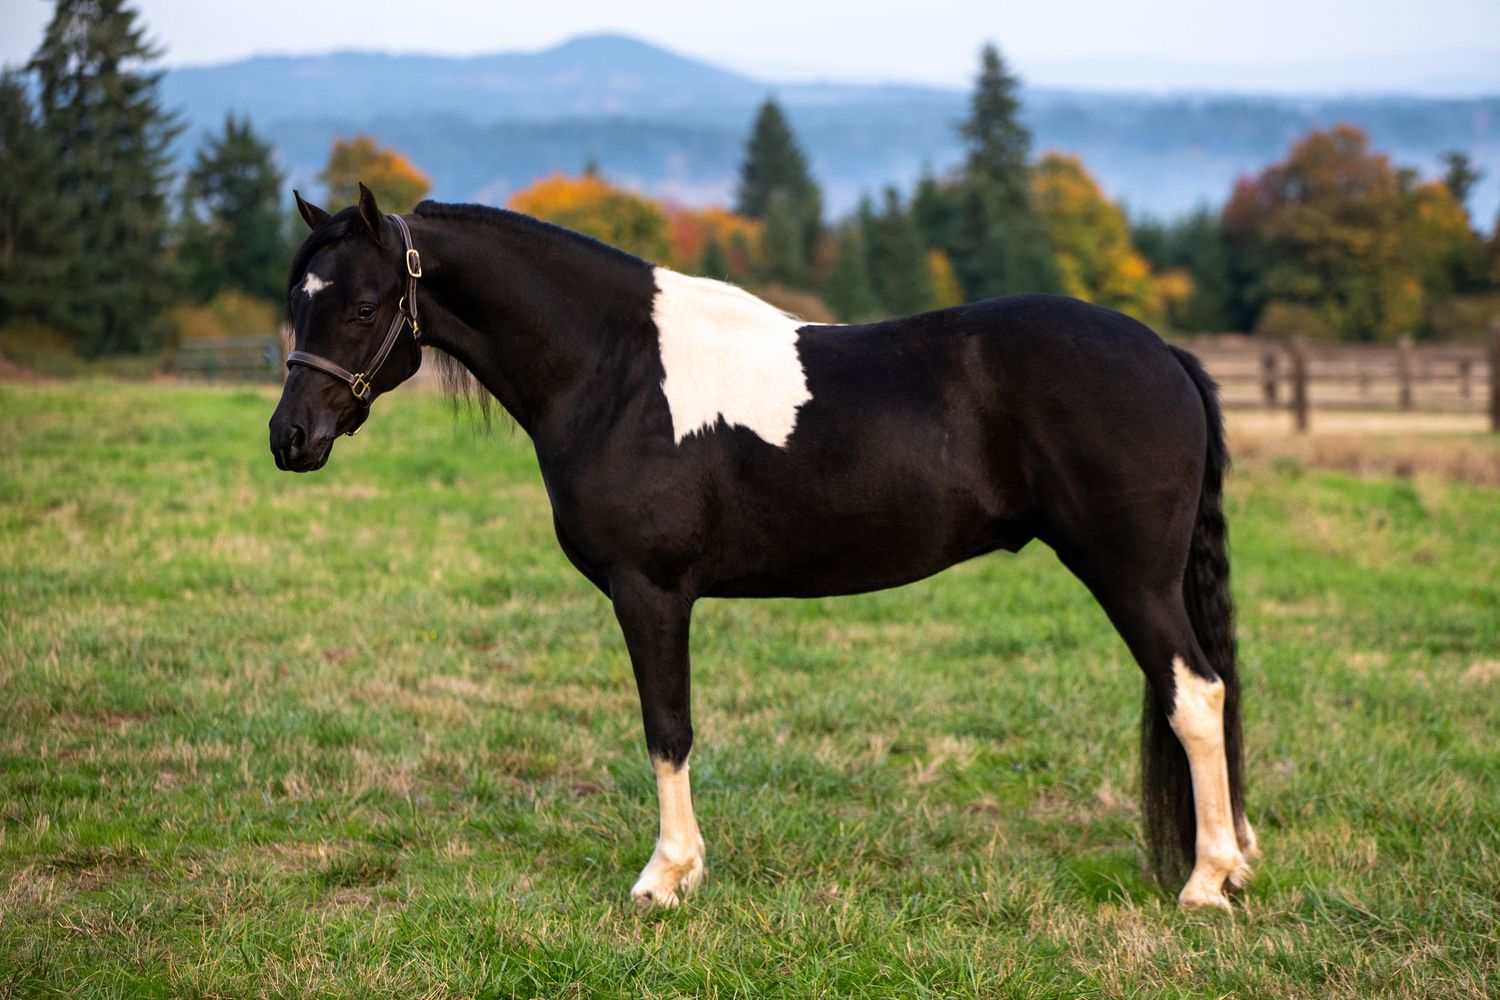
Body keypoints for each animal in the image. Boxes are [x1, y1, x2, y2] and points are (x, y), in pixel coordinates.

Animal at [269, 183, 1259, 911]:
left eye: (364, 305)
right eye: (297, 303)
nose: (291, 437)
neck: (616, 371)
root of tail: (1165, 355)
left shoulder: (650, 590)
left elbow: (667, 728)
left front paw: (667, 878)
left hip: (1132, 577)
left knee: (1196, 696)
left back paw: (1207, 883)